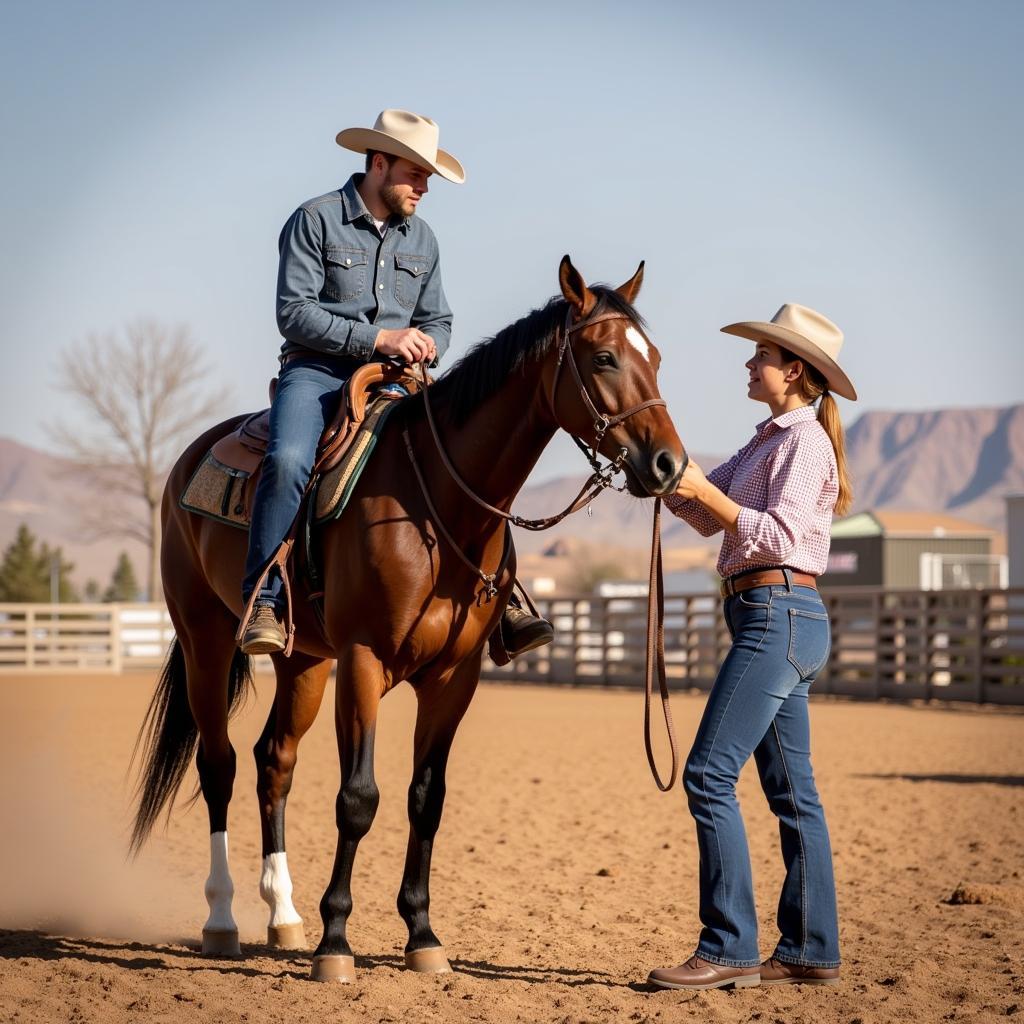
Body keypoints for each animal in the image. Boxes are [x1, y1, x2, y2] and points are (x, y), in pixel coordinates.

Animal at [130, 256, 688, 983]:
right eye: (603, 357)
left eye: (656, 358)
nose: (669, 465)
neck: (438, 509)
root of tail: (187, 464)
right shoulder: (363, 662)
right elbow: (358, 797)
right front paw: (336, 943)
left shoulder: (454, 678)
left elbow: (427, 798)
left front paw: (422, 936)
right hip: (207, 640)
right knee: (218, 763)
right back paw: (223, 920)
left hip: (304, 661)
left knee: (273, 761)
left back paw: (283, 916)